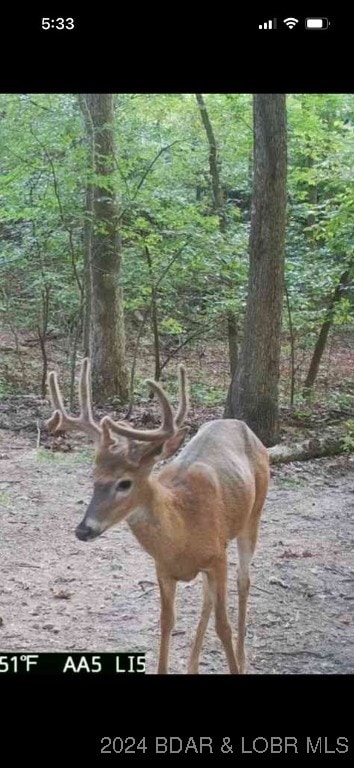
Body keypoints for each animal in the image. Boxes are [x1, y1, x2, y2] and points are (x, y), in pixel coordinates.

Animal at [46, 358, 268, 672]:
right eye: (93, 477)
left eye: (124, 483)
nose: (83, 529)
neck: (183, 530)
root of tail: (241, 425)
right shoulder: (163, 569)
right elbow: (166, 623)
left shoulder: (218, 557)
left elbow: (223, 626)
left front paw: (235, 665)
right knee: (207, 600)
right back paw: (192, 665)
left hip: (253, 515)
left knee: (243, 581)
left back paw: (242, 658)